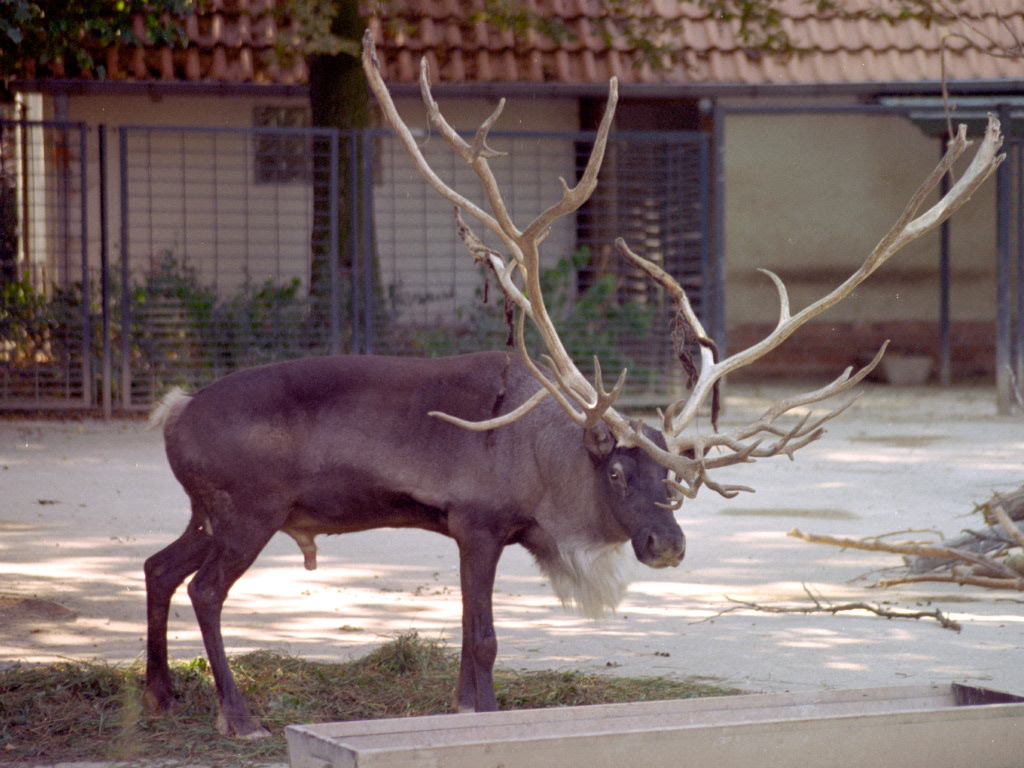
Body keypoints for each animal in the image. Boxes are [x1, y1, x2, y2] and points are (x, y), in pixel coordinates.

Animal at [141, 30, 1004, 739]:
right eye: (618, 470)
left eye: (674, 479)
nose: (667, 545)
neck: (545, 464)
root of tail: (173, 413)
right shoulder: (475, 521)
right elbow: (483, 638)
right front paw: (479, 715)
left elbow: (476, 642)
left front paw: (471, 714)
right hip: (248, 510)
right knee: (206, 591)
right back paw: (236, 716)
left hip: (212, 509)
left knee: (158, 567)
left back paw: (161, 692)